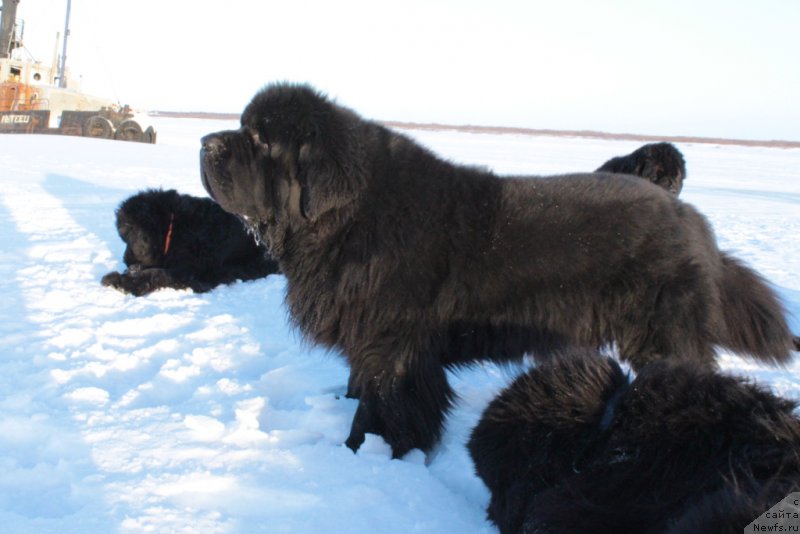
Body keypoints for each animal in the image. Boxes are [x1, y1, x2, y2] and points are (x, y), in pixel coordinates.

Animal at [101, 188, 280, 298]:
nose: (127, 259)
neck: (174, 227)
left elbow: (156, 273)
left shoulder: (191, 271)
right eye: (123, 236)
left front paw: (120, 281)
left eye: (131, 232)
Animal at [198, 84, 792, 460]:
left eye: (262, 139)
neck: (345, 216)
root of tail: (690, 217)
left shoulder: (394, 347)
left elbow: (383, 407)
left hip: (664, 332)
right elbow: (358, 385)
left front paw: (362, 454)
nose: (205, 141)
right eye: (244, 128)